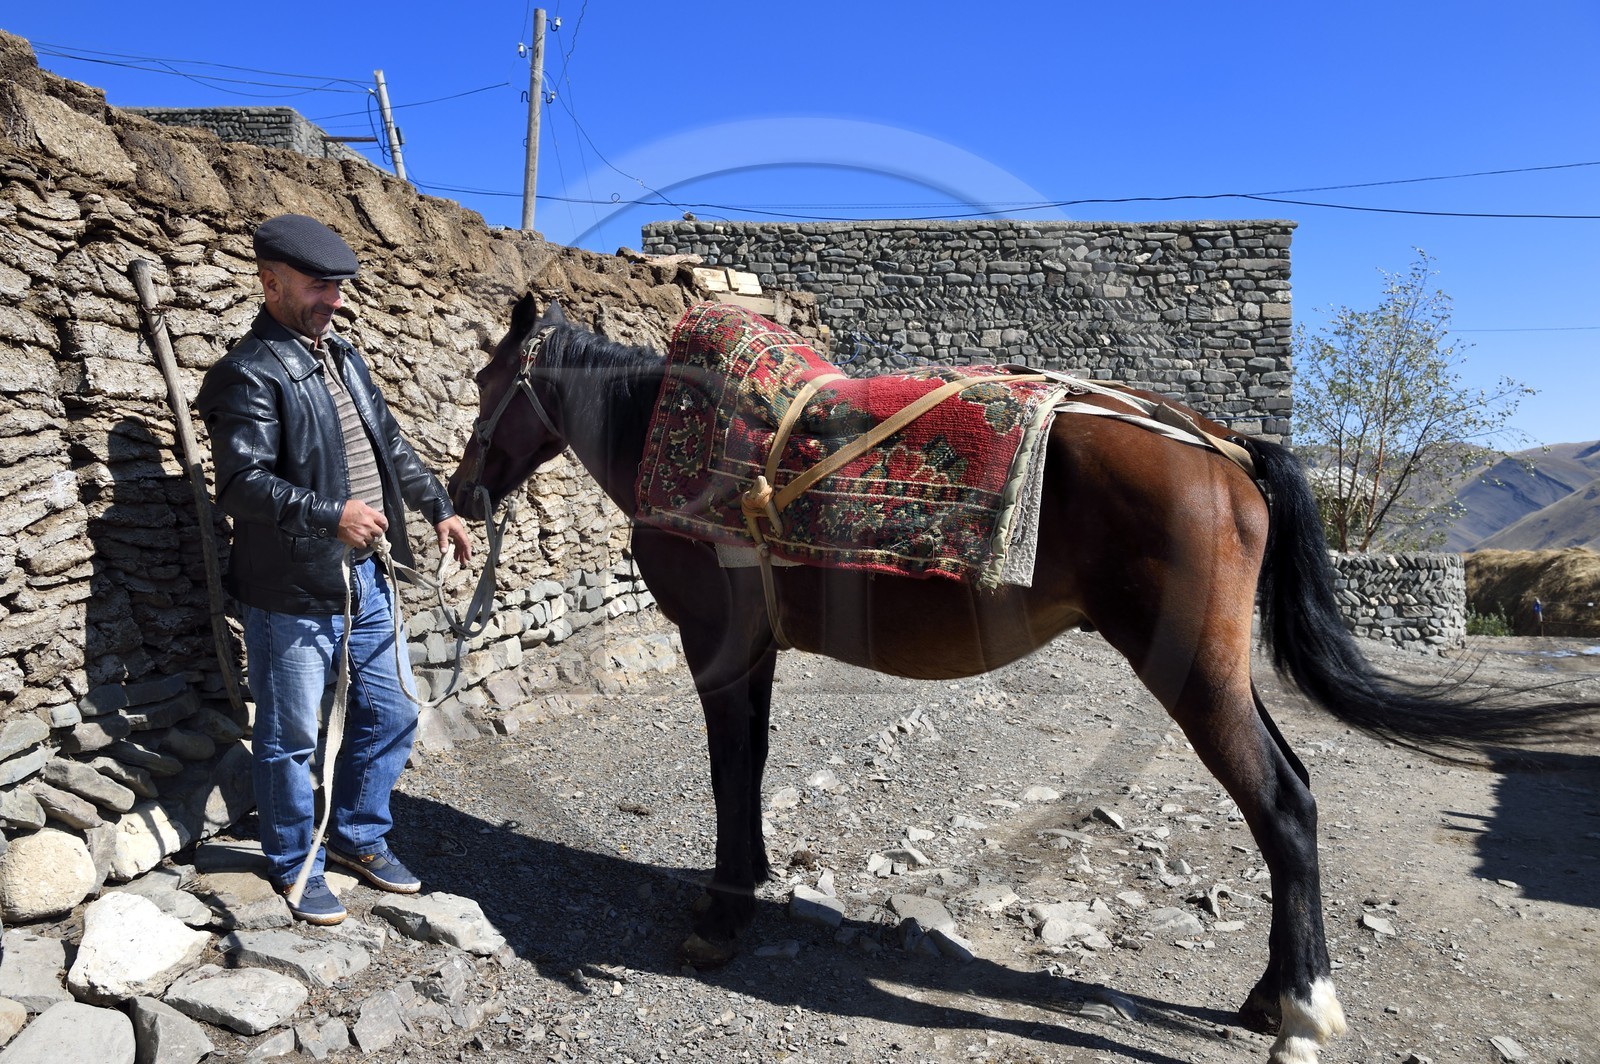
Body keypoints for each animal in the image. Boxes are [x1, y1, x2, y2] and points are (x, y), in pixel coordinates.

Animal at [447, 295, 1593, 1064]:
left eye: (484, 384)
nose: (457, 495)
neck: (676, 435)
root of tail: (1222, 443)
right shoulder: (756, 651)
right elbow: (754, 766)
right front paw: (749, 888)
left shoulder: (719, 647)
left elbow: (732, 772)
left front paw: (722, 917)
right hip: (1217, 670)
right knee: (1292, 791)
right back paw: (1272, 993)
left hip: (1190, 673)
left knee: (1282, 803)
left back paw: (1302, 1012)